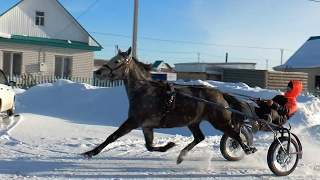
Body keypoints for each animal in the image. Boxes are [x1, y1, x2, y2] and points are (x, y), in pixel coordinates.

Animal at [83, 47, 258, 164]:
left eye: (117, 61)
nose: (98, 72)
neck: (144, 91)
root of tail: (220, 94)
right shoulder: (147, 126)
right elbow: (149, 146)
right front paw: (168, 145)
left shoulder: (133, 121)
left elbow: (112, 136)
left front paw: (91, 152)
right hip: (193, 121)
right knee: (199, 137)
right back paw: (181, 156)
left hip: (220, 122)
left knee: (235, 135)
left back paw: (247, 149)